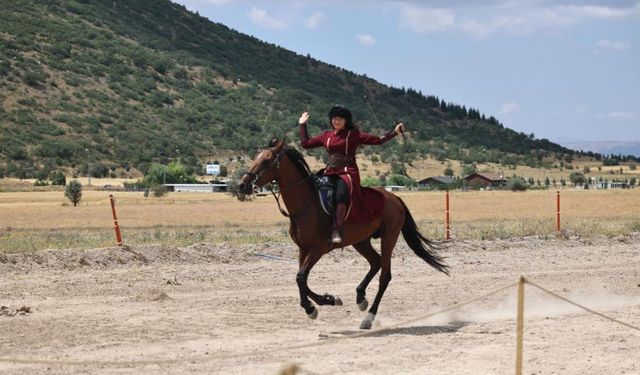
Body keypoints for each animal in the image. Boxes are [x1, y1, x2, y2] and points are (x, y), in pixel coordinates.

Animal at [236, 140, 450, 330]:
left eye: (266, 161)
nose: (242, 185)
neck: (305, 204)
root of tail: (395, 198)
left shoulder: (318, 249)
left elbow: (301, 278)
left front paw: (324, 302)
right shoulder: (303, 249)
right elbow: (301, 280)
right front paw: (317, 305)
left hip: (389, 237)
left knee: (385, 275)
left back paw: (368, 317)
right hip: (361, 241)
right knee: (375, 262)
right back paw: (360, 297)